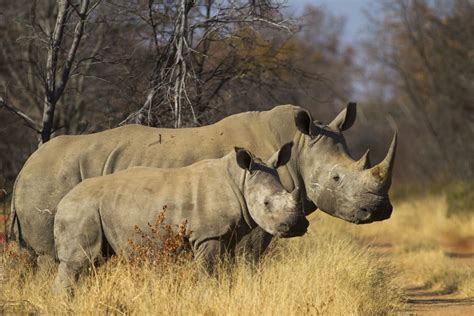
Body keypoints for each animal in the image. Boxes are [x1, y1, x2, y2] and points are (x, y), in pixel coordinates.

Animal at [10, 102, 396, 260]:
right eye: (336, 177)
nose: (380, 210)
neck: (299, 146)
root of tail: (23, 168)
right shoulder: (255, 216)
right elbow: (248, 261)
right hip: (50, 181)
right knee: (50, 257)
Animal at [53, 143, 310, 292]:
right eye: (266, 203)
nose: (297, 226)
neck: (240, 180)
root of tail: (62, 201)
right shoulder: (208, 235)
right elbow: (209, 271)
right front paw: (208, 296)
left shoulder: (227, 234)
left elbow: (225, 271)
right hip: (80, 209)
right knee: (78, 262)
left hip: (94, 209)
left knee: (93, 262)